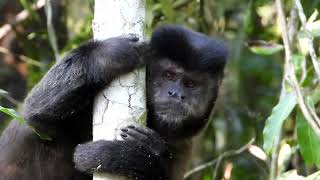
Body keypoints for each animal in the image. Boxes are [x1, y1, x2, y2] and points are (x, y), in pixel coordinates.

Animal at [0, 24, 228, 180]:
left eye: (190, 84)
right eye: (169, 75)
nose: (177, 94)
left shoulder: (181, 147)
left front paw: (143, 152)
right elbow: (34, 115)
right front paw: (108, 56)